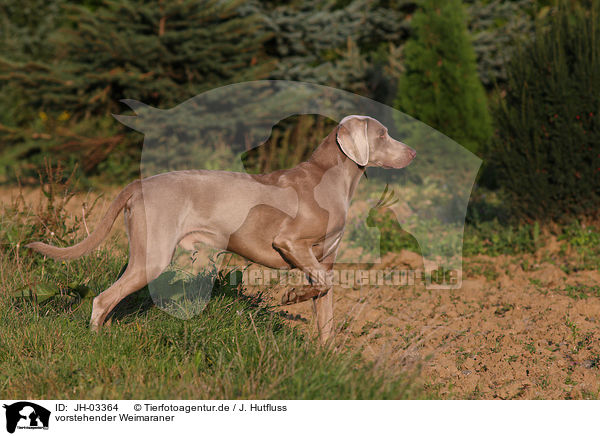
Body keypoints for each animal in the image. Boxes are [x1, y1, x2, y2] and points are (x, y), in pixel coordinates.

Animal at [27, 116, 412, 340]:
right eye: (383, 134)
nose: (413, 153)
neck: (330, 179)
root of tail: (138, 185)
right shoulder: (290, 243)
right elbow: (320, 283)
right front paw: (290, 296)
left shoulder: (324, 261)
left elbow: (325, 303)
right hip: (154, 256)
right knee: (101, 298)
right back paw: (95, 340)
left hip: (143, 254)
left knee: (111, 297)